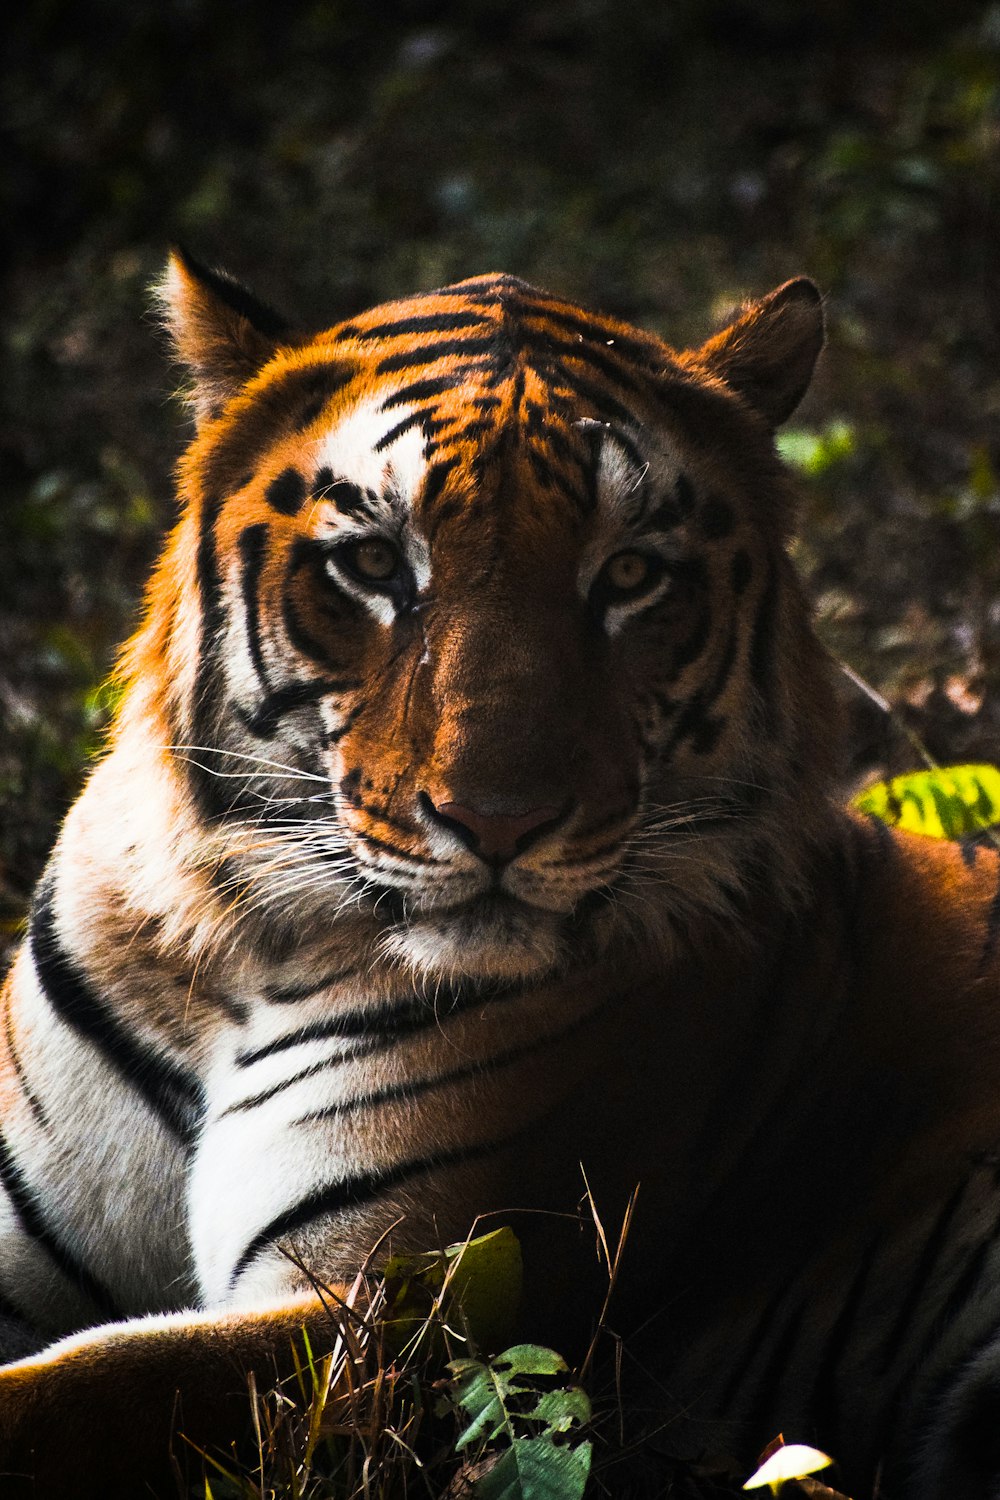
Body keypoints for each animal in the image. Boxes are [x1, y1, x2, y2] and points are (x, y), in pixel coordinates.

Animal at [1, 249, 1000, 1500]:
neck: (235, 947)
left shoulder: (395, 1305)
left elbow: (77, 1393)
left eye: (630, 574)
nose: (500, 821)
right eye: (373, 562)